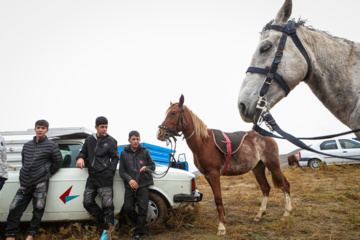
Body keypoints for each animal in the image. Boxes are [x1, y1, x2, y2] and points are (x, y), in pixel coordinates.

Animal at [156, 94, 292, 235]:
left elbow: (218, 199)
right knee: (265, 188)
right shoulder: (207, 176)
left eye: (173, 113)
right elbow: (217, 199)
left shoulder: (214, 174)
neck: (203, 142)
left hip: (273, 165)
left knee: (285, 185)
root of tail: (269, 137)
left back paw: (286, 214)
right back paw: (259, 215)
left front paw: (221, 227)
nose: (160, 133)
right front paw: (223, 221)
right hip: (258, 168)